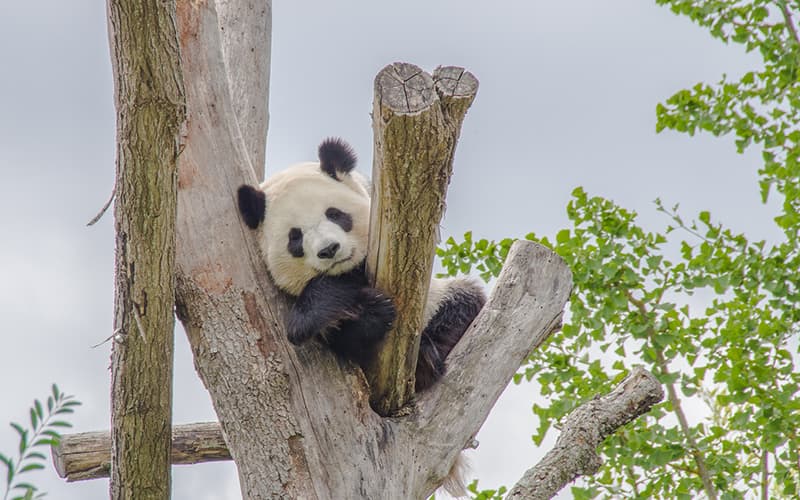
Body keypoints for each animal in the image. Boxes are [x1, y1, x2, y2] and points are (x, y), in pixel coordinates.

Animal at [237, 137, 486, 395]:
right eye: (295, 237)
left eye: (335, 214)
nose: (329, 249)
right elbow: (335, 333)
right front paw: (369, 311)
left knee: (462, 304)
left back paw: (424, 362)